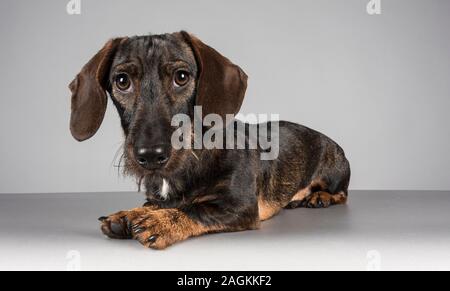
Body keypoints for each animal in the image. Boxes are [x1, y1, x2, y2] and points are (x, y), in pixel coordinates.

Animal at [69, 32, 352, 251]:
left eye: (181, 77)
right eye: (122, 81)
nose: (150, 156)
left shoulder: (239, 206)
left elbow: (194, 209)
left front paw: (160, 221)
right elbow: (152, 204)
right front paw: (129, 214)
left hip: (334, 172)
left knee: (342, 193)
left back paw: (320, 197)